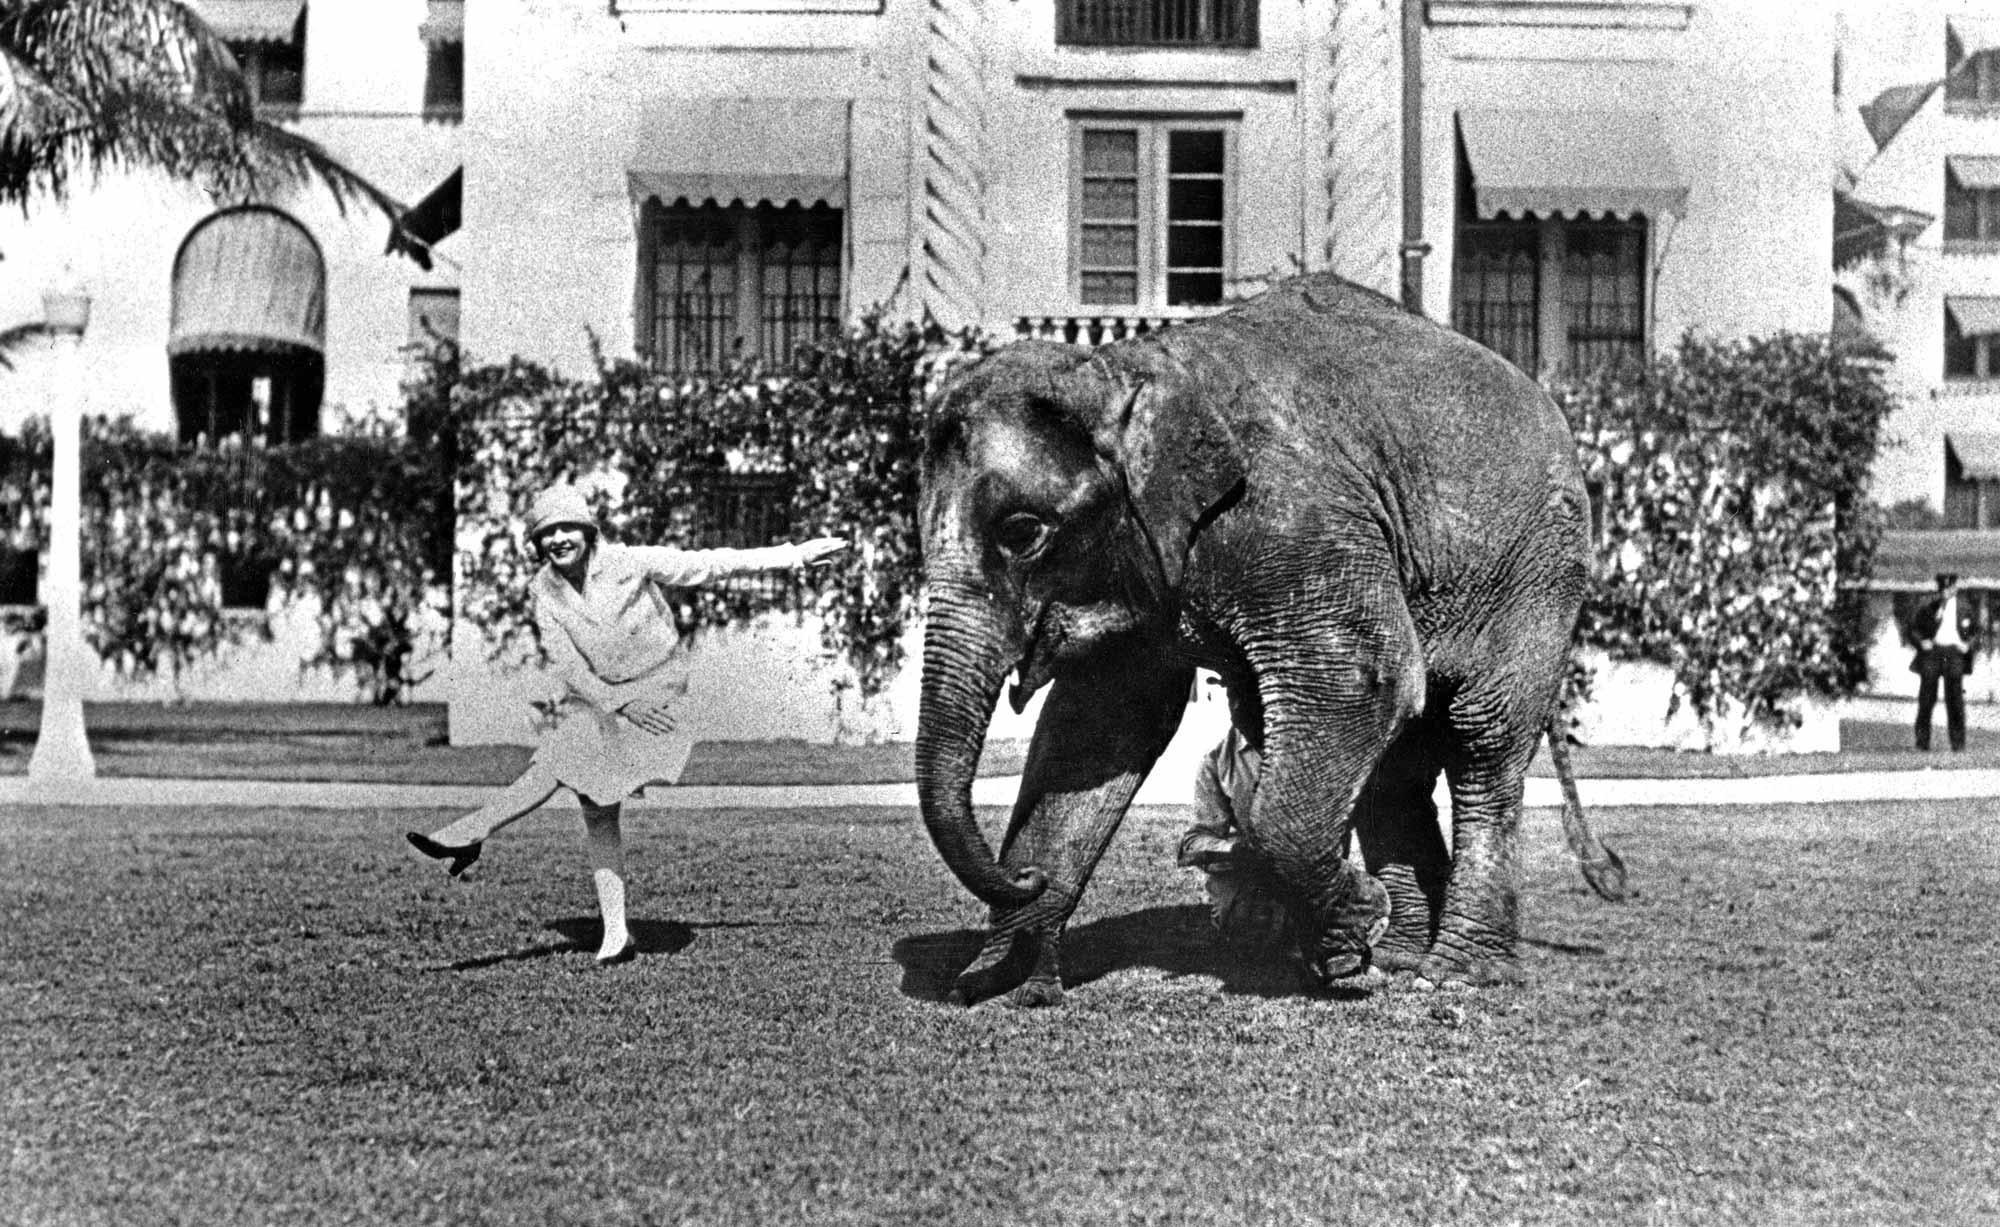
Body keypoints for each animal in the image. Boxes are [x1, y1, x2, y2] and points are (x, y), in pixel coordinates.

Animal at [914, 273, 1627, 1008]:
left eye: (1022, 531)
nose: (1024, 880)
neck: (1127, 370)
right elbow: (1099, 728)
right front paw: (1003, 980)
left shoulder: (1295, 518)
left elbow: (1362, 681)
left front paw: (1357, 921)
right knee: (1397, 762)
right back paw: (1396, 958)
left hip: (1536, 573)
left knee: (1481, 740)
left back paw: (1454, 971)